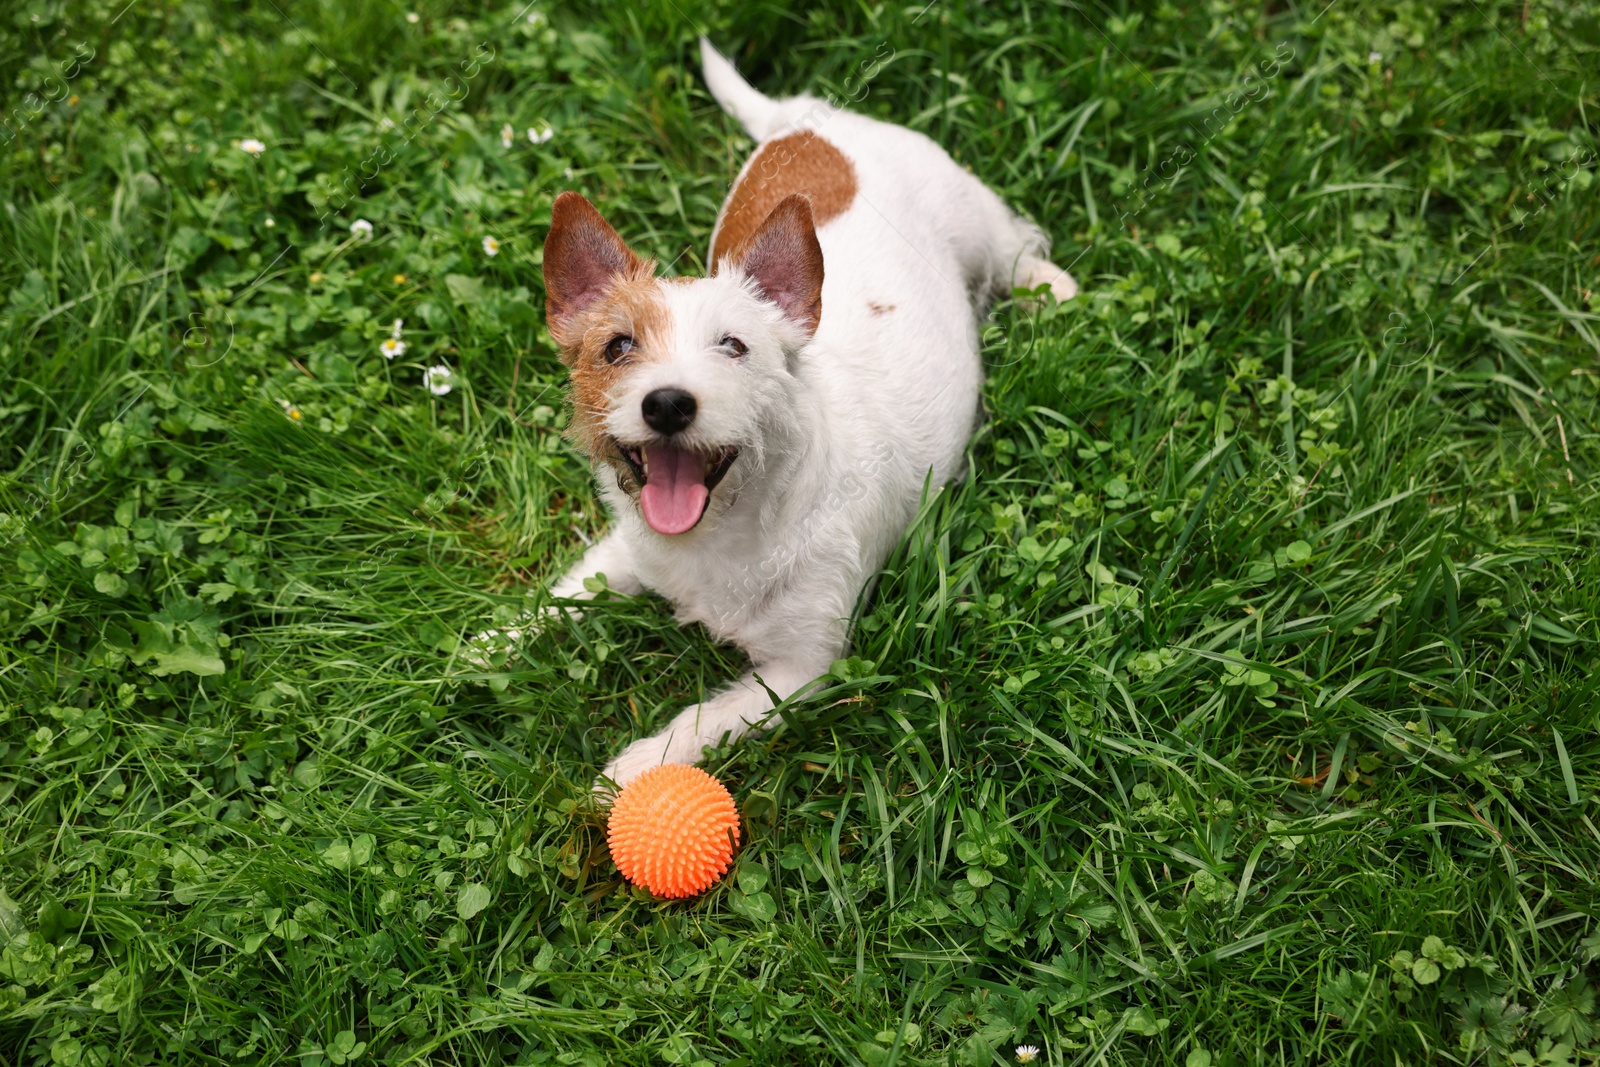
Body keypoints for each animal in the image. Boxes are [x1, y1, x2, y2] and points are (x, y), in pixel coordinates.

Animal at [476, 41, 1075, 790]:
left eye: (734, 345)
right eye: (617, 347)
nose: (667, 402)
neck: (724, 530)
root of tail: (810, 119)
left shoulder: (801, 670)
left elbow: (699, 723)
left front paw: (634, 771)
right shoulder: (624, 552)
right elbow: (566, 592)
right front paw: (492, 640)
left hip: (972, 213)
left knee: (1015, 242)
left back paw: (1050, 285)